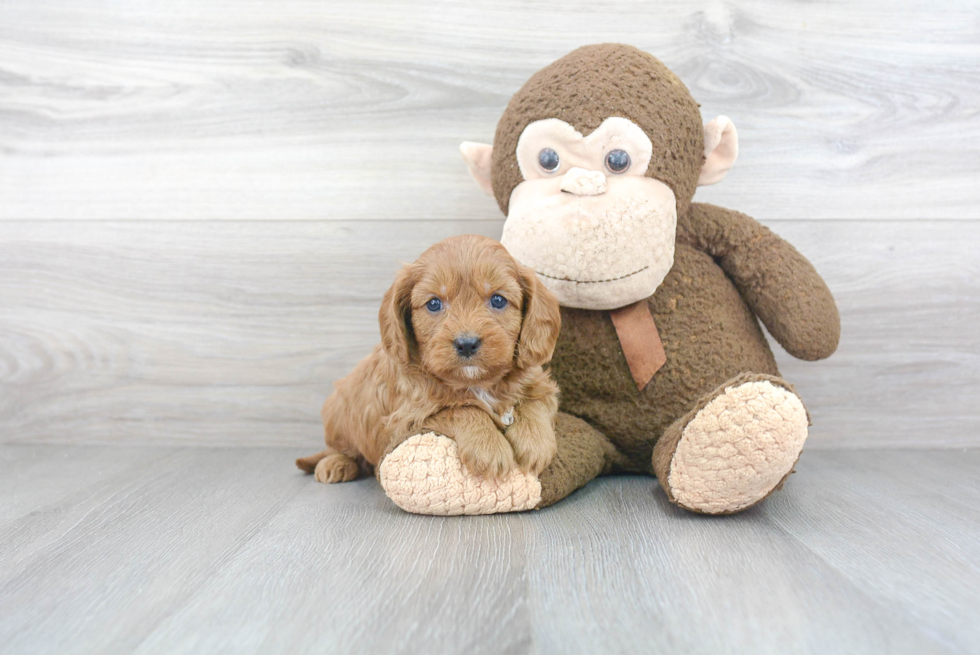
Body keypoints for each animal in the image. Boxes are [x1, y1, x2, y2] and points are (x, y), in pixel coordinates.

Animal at [294, 233, 564, 484]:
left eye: (498, 299)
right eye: (434, 303)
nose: (467, 343)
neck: (475, 383)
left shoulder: (541, 384)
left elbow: (536, 402)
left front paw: (534, 443)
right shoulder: (407, 419)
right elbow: (460, 409)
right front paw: (488, 448)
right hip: (338, 413)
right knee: (339, 449)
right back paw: (335, 464)